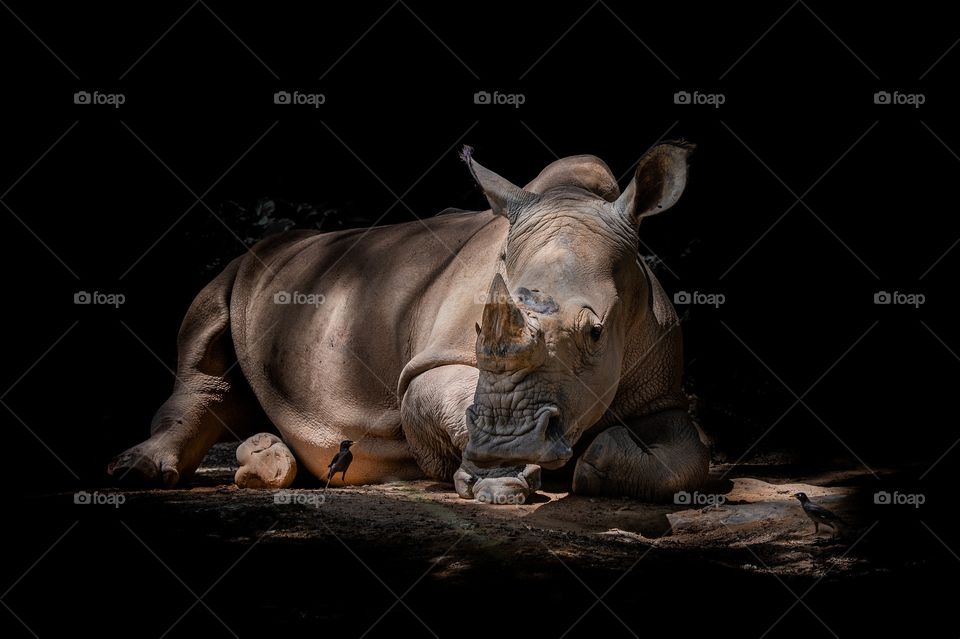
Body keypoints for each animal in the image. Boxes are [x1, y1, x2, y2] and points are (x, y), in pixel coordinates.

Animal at [108, 141, 709, 504]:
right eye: (479, 329)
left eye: (596, 333)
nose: (510, 446)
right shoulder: (436, 362)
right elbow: (443, 396)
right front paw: (496, 483)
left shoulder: (662, 390)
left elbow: (689, 457)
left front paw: (588, 466)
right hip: (241, 268)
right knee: (204, 352)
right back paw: (137, 472)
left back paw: (268, 463)